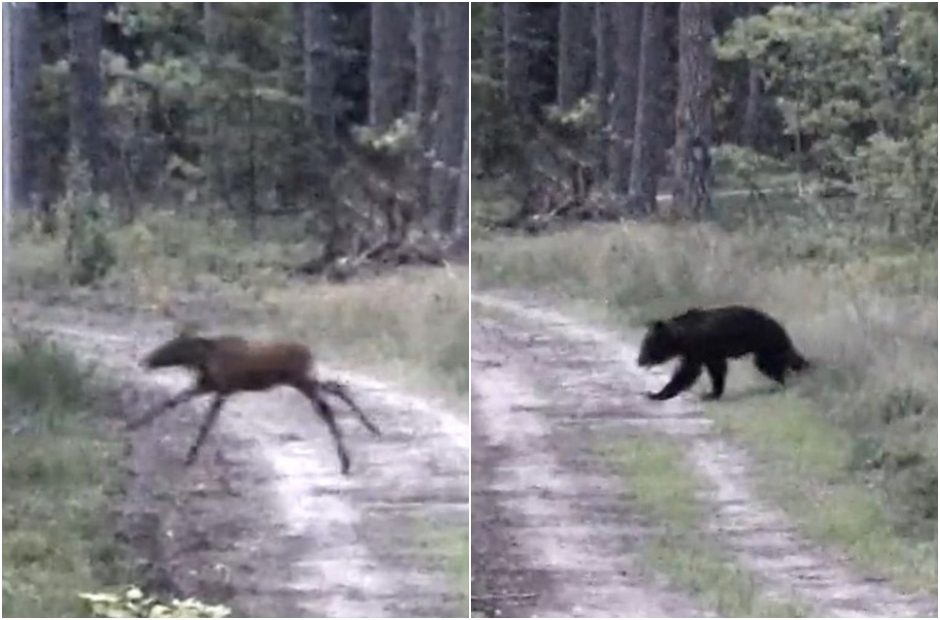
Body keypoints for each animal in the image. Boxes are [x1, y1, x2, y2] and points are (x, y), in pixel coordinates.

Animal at [640, 306, 808, 402]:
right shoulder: (709, 353)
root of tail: (780, 327)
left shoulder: (699, 347)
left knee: (772, 364)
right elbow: (716, 370)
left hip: (766, 344)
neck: (682, 336)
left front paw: (655, 394)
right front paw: (713, 393)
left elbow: (687, 372)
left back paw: (783, 381)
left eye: (646, 345)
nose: (639, 360)